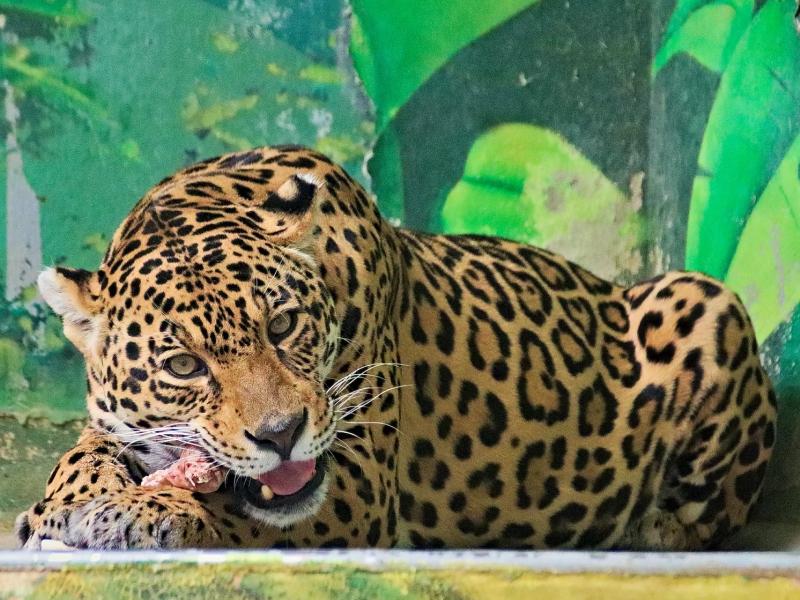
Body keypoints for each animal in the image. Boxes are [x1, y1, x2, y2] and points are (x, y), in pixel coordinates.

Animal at [16, 145, 776, 551]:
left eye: (283, 326)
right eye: (183, 367)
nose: (281, 434)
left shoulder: (356, 488)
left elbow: (241, 514)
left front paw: (152, 512)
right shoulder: (110, 424)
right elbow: (77, 458)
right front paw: (64, 507)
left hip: (706, 302)